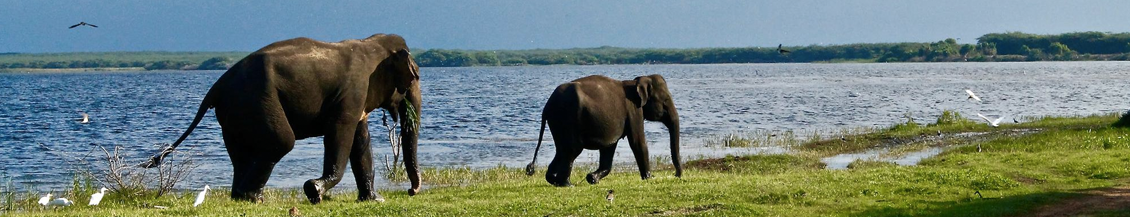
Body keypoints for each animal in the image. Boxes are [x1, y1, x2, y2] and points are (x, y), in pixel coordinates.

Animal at [140, 33, 424, 203]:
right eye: (415, 77)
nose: (411, 191)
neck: (370, 43)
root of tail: (216, 87)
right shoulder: (352, 93)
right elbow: (340, 134)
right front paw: (314, 191)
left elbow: (360, 141)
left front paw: (374, 200)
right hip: (257, 101)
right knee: (281, 142)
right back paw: (253, 197)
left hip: (234, 114)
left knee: (241, 154)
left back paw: (242, 197)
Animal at [524, 74, 682, 186]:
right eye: (665, 101)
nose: (676, 175)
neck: (637, 81)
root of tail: (547, 106)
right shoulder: (634, 111)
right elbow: (638, 142)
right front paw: (649, 178)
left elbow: (609, 147)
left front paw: (592, 178)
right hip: (568, 118)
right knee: (572, 149)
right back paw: (567, 184)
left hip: (557, 123)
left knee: (562, 149)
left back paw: (553, 180)